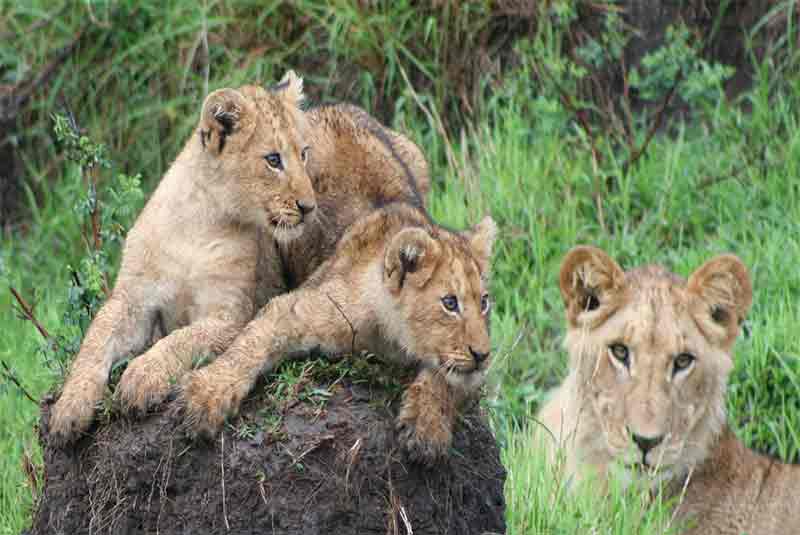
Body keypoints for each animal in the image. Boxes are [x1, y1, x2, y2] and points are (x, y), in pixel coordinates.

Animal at [49, 72, 430, 445]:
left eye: (304, 154)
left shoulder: (233, 315)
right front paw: (68, 408)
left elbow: (183, 339)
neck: (198, 221)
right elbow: (95, 339)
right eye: (273, 160)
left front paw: (141, 377)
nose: (309, 207)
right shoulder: (133, 299)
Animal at [180, 203, 496, 463]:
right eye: (450, 303)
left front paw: (426, 425)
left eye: (484, 302)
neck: (391, 339)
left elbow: (446, 380)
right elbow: (250, 345)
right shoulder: (301, 307)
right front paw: (206, 395)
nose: (483, 354)